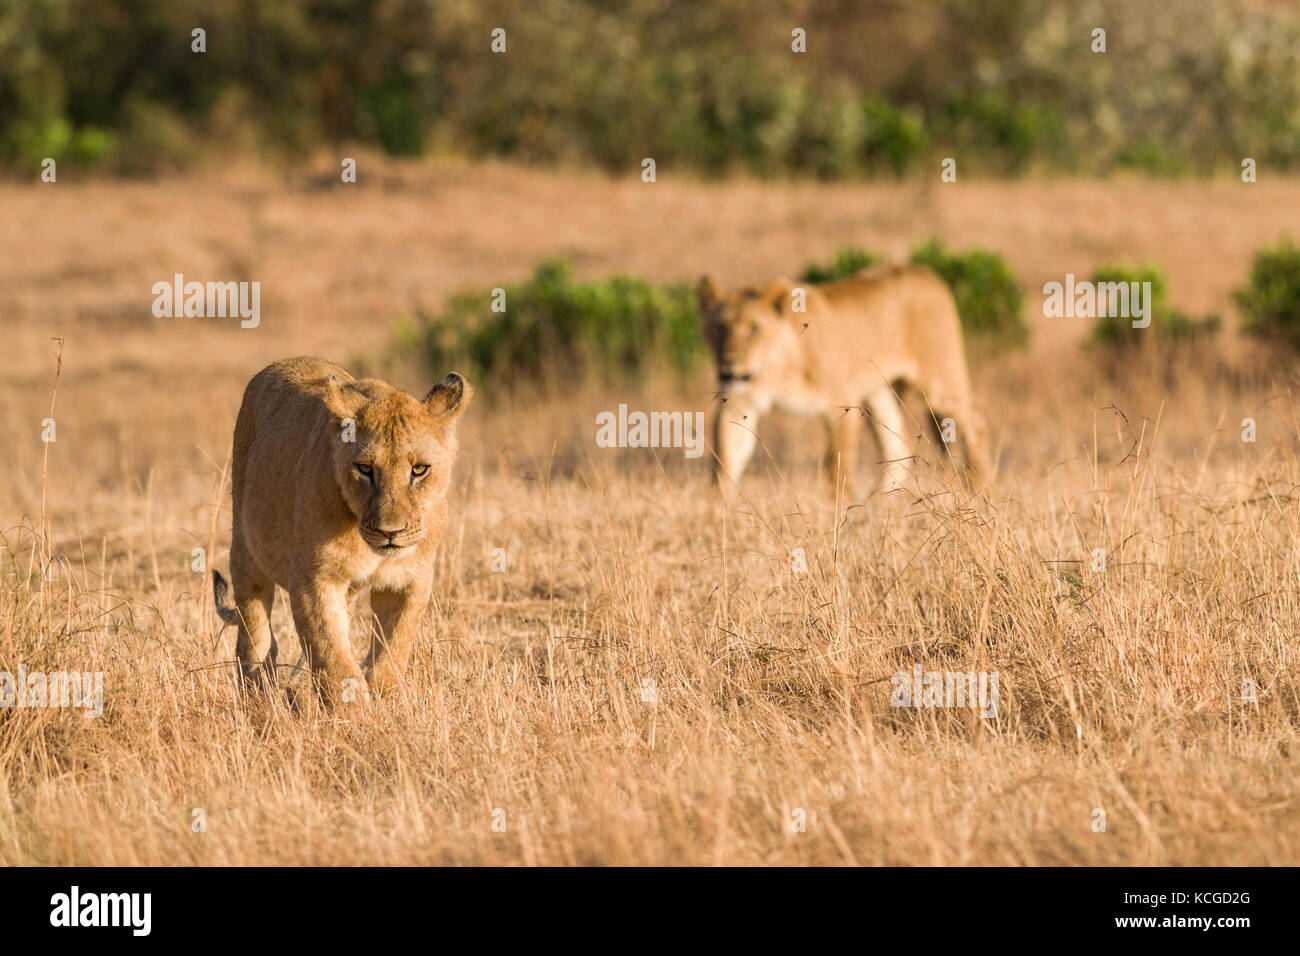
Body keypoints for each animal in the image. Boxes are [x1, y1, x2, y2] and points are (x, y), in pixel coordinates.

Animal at [212, 356, 471, 710]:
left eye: (419, 470)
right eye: (365, 469)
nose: (391, 532)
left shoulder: (410, 580)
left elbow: (394, 645)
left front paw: (384, 699)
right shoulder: (313, 577)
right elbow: (331, 653)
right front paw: (354, 714)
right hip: (244, 544)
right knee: (254, 630)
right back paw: (258, 694)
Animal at [697, 263, 988, 496]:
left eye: (754, 329)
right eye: (720, 328)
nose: (729, 364)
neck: (775, 369)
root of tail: (928, 273)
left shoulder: (840, 404)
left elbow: (837, 467)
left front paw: (839, 509)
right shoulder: (738, 403)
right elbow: (725, 460)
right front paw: (717, 509)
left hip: (940, 382)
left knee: (974, 422)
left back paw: (979, 486)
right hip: (879, 393)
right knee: (897, 446)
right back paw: (881, 500)